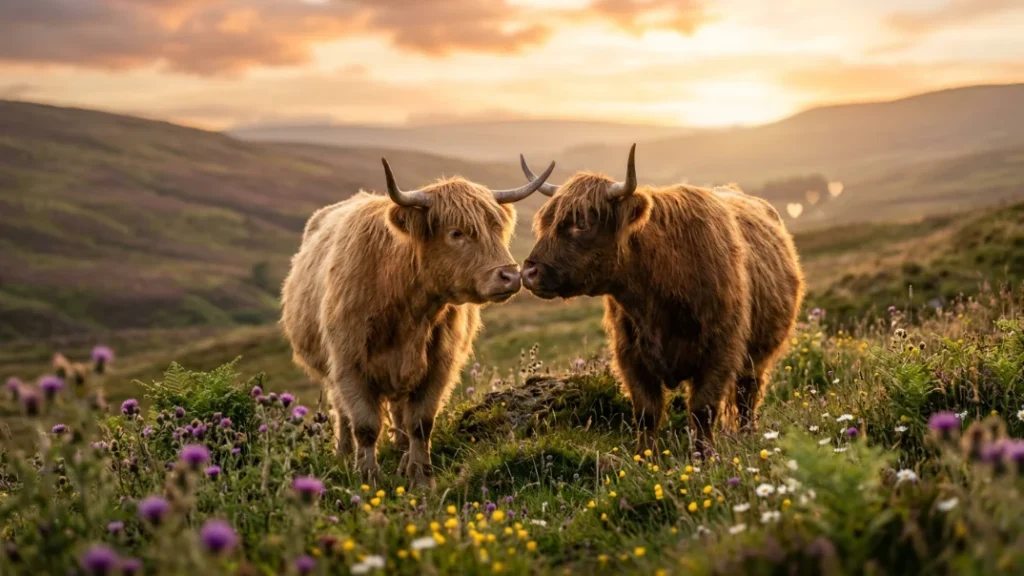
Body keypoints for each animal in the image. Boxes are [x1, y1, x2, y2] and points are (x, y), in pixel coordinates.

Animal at [280, 158, 555, 488]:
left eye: (497, 228)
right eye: (456, 233)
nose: (511, 276)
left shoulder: (438, 364)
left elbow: (421, 423)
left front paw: (421, 479)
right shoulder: (349, 365)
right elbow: (365, 426)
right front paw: (367, 479)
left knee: (400, 413)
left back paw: (401, 456)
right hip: (332, 372)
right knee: (343, 413)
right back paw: (344, 455)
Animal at [519, 145, 803, 453]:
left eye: (582, 223)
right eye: (545, 222)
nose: (529, 272)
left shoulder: (720, 350)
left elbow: (703, 409)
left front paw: (704, 456)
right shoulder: (631, 356)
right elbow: (647, 412)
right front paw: (646, 457)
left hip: (758, 355)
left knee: (747, 394)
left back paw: (749, 434)